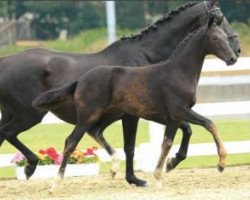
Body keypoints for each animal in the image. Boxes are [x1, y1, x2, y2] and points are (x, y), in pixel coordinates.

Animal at [0, 0, 239, 187]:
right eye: (220, 17)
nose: (236, 51)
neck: (147, 56)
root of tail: (3, 62)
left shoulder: (159, 111)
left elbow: (186, 129)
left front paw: (171, 162)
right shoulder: (133, 114)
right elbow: (131, 147)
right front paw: (136, 179)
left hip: (13, 113)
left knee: (4, 134)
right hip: (29, 115)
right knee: (9, 133)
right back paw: (31, 166)